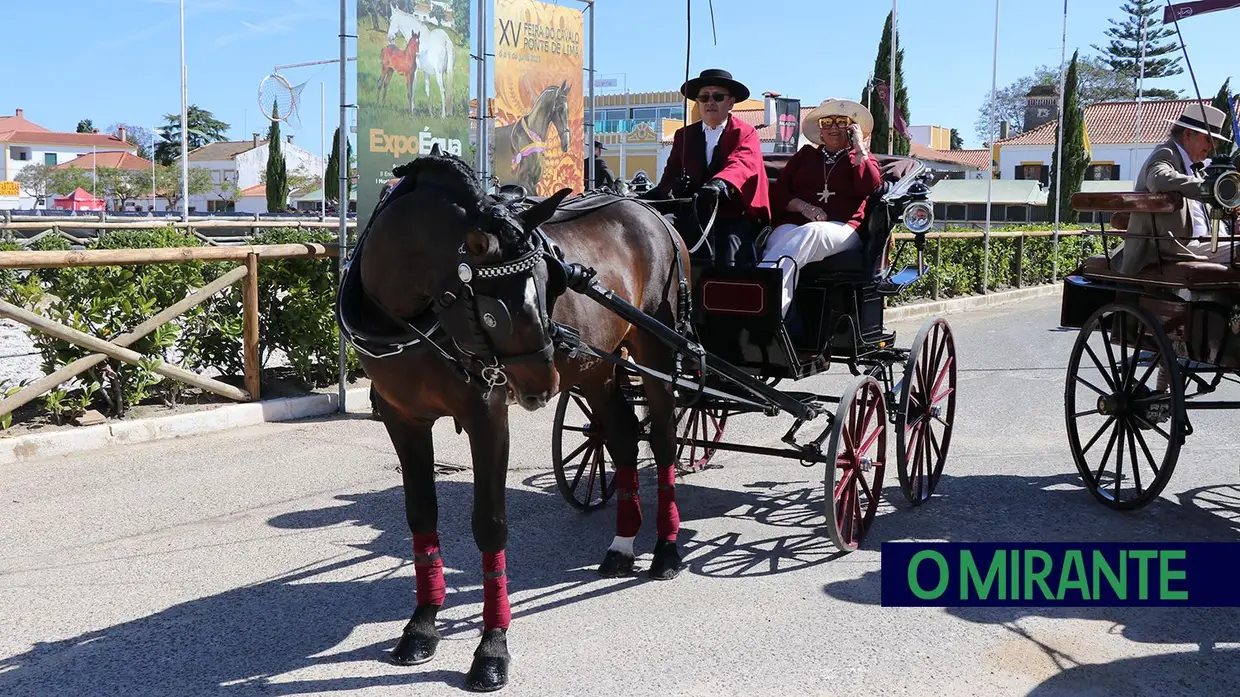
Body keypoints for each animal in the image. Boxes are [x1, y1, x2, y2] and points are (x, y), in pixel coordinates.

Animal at [334, 146, 694, 689]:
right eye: (494, 311)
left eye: (547, 283)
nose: (541, 385)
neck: (413, 318)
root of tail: (651, 212)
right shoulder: (404, 420)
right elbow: (421, 515)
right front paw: (422, 625)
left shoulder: (488, 417)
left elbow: (490, 524)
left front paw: (491, 648)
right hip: (596, 367)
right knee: (623, 439)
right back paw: (623, 545)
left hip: (656, 347)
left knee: (665, 442)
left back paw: (667, 549)